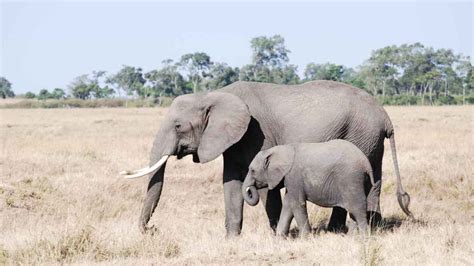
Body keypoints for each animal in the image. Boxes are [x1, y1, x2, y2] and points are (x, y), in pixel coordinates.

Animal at [244, 140, 382, 236]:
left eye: (252, 170)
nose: (249, 190)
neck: (281, 150)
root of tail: (366, 163)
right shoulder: (291, 180)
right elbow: (288, 204)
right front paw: (279, 238)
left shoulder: (294, 176)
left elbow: (297, 204)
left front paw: (305, 238)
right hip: (362, 181)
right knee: (354, 209)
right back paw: (352, 237)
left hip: (351, 178)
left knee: (357, 208)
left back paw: (364, 238)